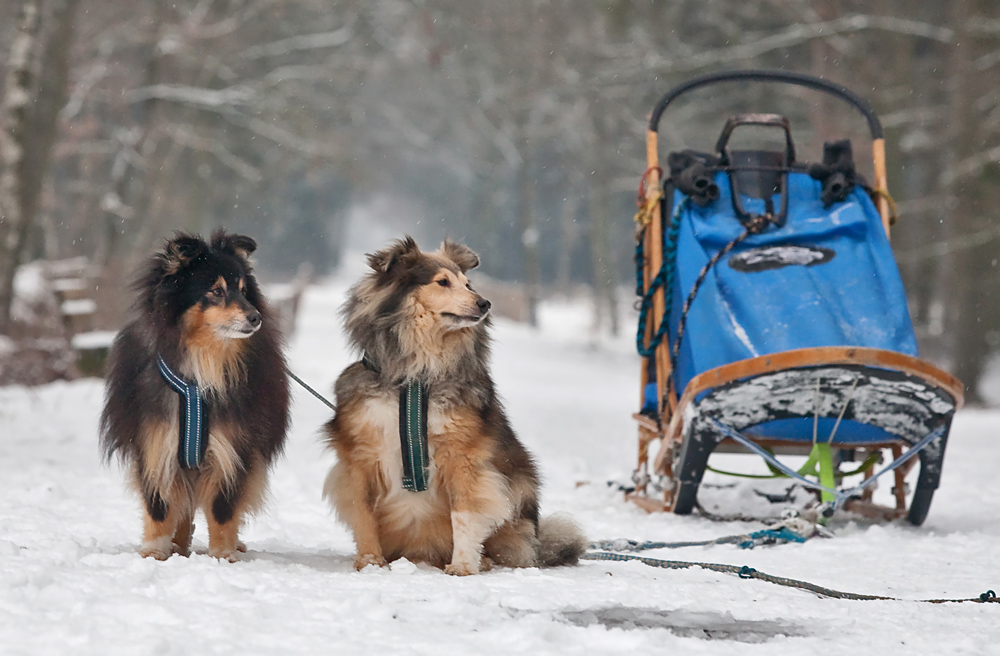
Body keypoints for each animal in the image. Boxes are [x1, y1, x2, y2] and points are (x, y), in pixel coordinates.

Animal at [100, 229, 290, 560]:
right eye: (215, 290)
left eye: (243, 290)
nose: (256, 318)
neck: (202, 366)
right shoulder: (155, 441)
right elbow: (160, 505)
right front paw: (154, 551)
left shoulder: (234, 445)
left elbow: (223, 509)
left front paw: (223, 555)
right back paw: (178, 545)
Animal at [320, 237, 584, 576]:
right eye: (442, 282)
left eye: (468, 284)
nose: (485, 303)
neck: (416, 378)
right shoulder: (361, 455)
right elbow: (362, 510)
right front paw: (370, 563)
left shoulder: (463, 455)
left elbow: (465, 514)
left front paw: (462, 566)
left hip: (521, 488)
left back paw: (486, 560)